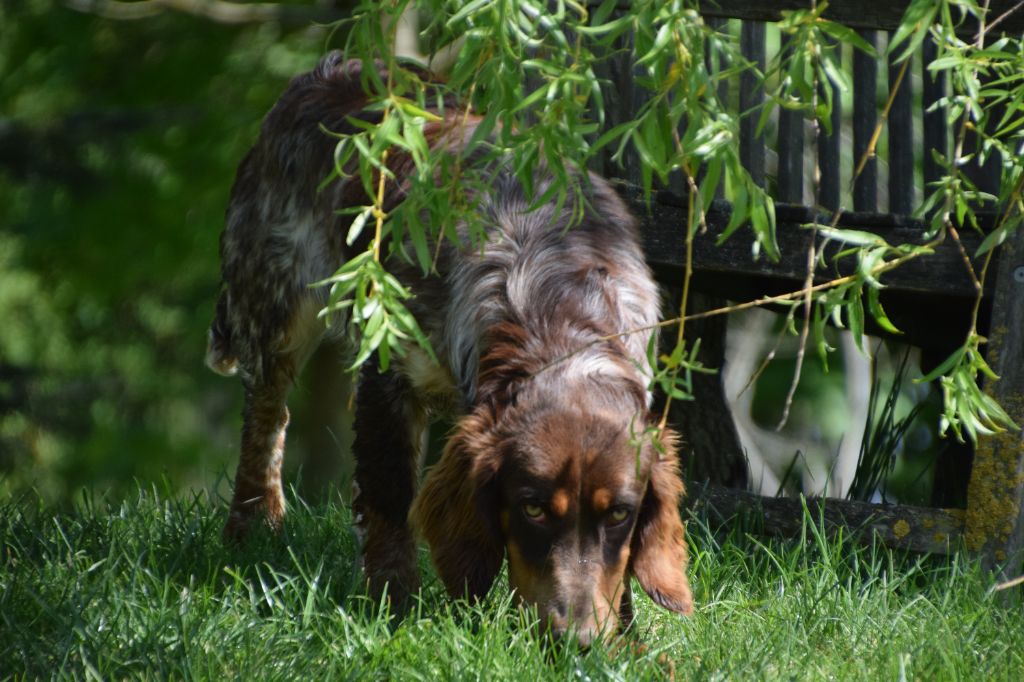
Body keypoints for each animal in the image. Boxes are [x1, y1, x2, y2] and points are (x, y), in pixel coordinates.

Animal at [204, 53, 692, 643]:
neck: (553, 311)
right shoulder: (387, 378)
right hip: (276, 305)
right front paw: (395, 606)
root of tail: (334, 66)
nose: (572, 638)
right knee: (266, 415)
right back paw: (253, 523)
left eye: (620, 514)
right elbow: (388, 502)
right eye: (531, 508)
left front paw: (623, 635)